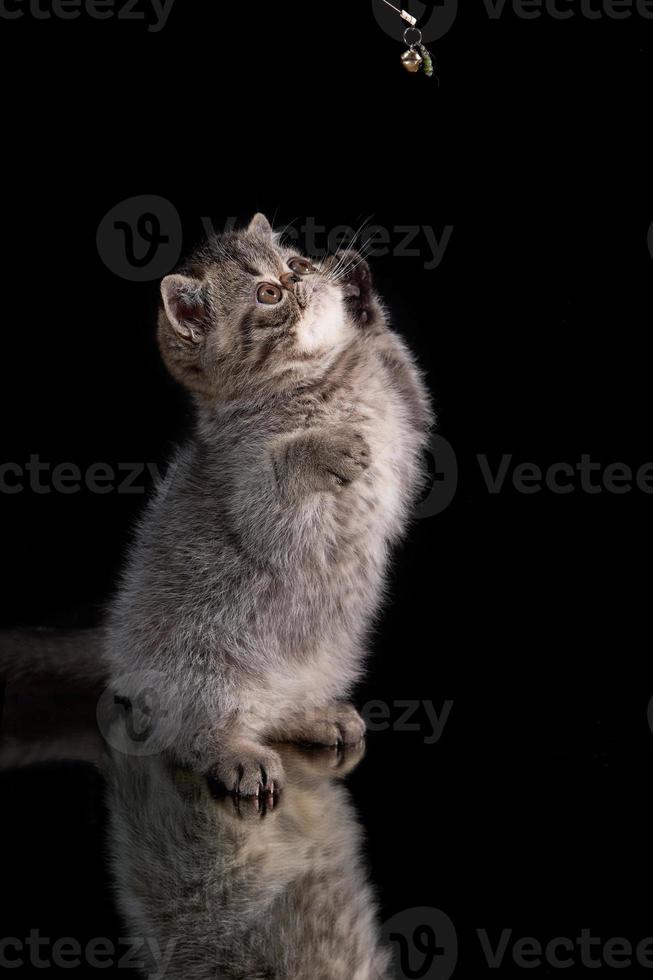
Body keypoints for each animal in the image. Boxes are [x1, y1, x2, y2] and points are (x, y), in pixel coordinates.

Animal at [103, 214, 432, 796]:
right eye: (269, 293)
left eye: (295, 262)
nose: (302, 277)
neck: (323, 382)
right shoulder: (250, 491)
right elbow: (276, 478)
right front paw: (322, 447)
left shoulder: (406, 424)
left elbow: (401, 367)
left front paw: (359, 290)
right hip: (199, 670)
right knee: (194, 735)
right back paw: (237, 754)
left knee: (277, 713)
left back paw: (312, 715)